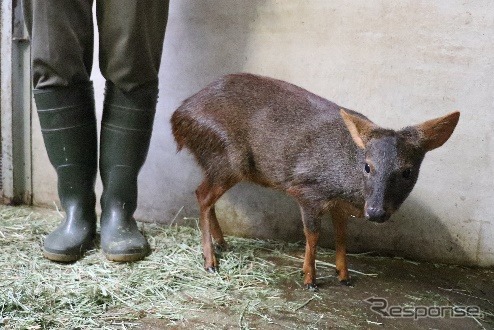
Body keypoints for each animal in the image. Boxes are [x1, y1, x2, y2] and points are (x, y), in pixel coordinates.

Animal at [171, 73, 460, 288]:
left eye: (407, 171)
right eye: (368, 166)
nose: (376, 212)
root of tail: (177, 119)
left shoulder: (339, 205)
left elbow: (342, 236)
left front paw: (344, 276)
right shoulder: (307, 191)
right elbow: (313, 234)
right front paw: (310, 278)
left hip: (217, 162)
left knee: (205, 196)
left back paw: (221, 244)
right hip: (229, 159)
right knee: (202, 195)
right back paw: (210, 261)